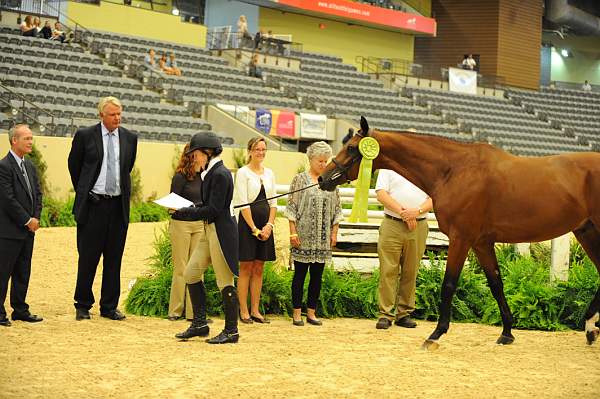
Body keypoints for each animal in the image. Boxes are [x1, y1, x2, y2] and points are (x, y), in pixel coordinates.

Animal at [322, 117, 596, 348]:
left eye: (351, 148)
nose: (324, 179)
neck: (454, 170)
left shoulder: (461, 238)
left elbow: (449, 284)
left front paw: (435, 334)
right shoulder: (482, 243)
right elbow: (496, 284)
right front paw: (507, 332)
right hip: (585, 232)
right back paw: (591, 329)